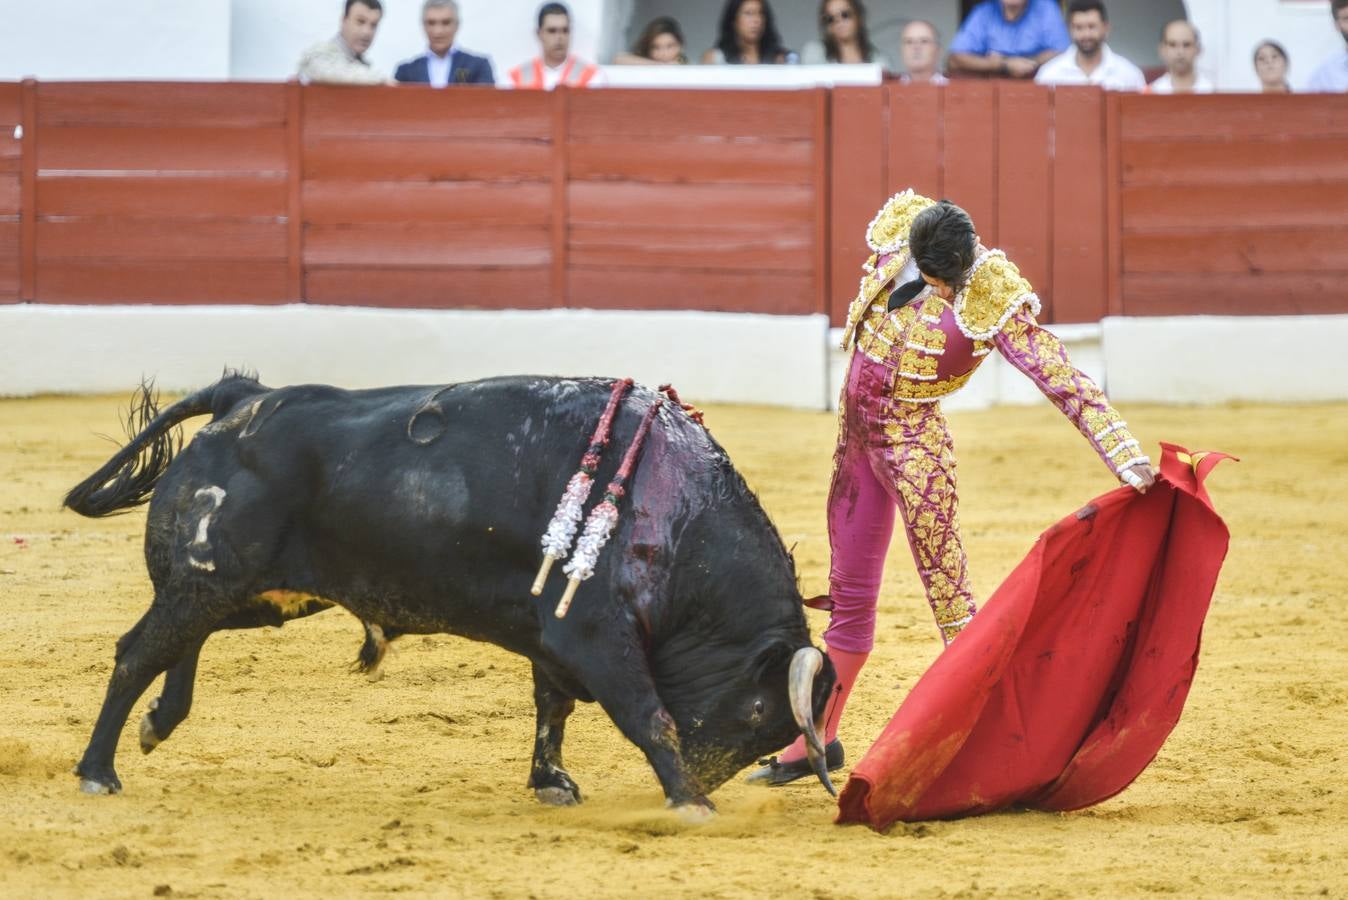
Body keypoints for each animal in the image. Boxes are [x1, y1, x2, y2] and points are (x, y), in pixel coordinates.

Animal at [71, 377, 841, 813]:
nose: (706, 780)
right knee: (138, 649)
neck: (676, 516)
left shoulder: (552, 638)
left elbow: (552, 708)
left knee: (180, 638)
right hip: (215, 578)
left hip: (253, 594)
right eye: (758, 711)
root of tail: (242, 397)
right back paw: (98, 771)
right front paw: (687, 802)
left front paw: (552, 783)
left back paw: (157, 723)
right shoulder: (593, 637)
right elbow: (648, 716)